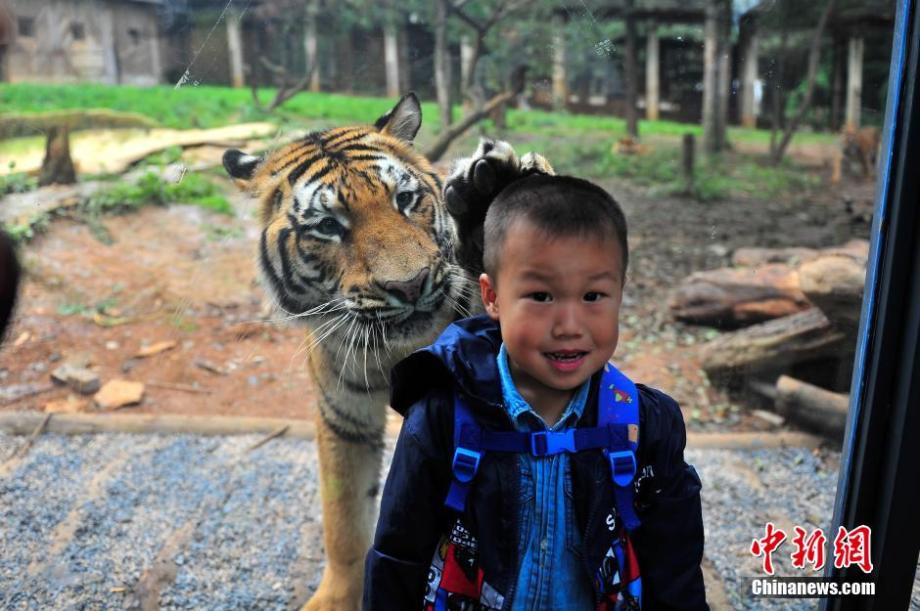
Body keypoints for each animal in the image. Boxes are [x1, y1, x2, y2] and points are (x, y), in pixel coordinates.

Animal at [223, 92, 552, 611]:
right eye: (328, 226)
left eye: (404, 199)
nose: (410, 284)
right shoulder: (344, 418)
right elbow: (343, 520)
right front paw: (339, 596)